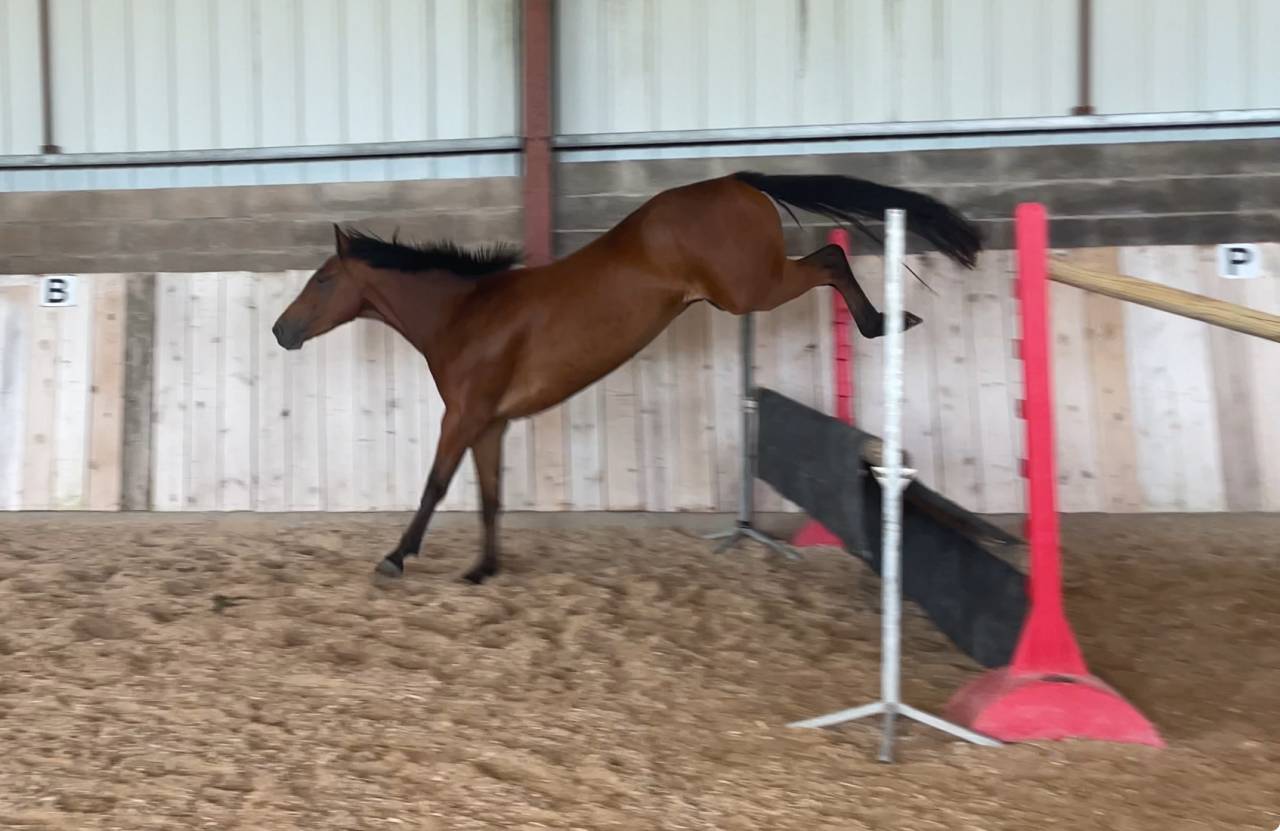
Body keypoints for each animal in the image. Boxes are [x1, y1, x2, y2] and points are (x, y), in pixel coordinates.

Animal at [271, 170, 982, 583]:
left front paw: (395, 558)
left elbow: (435, 486)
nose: (281, 331)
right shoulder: (491, 423)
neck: (468, 312)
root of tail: (733, 178)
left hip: (750, 288)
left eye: (323, 280)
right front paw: (483, 569)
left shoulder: (465, 416)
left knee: (830, 260)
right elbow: (489, 496)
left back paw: (887, 321)